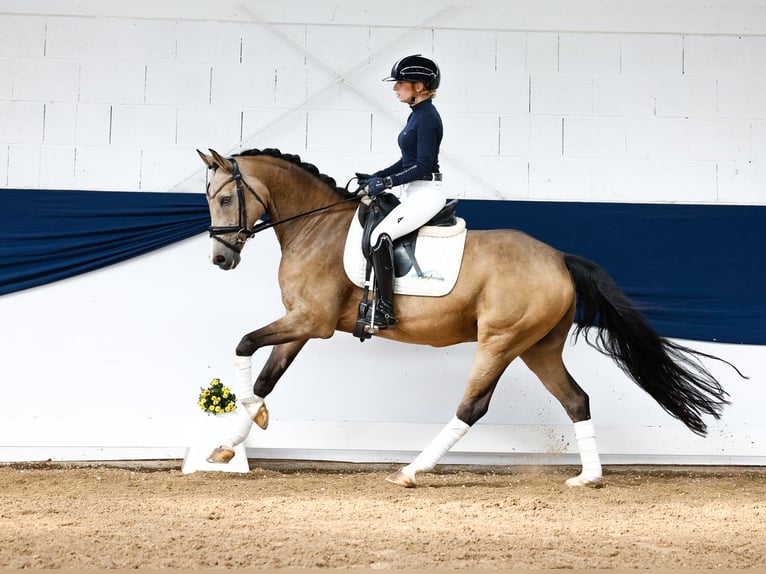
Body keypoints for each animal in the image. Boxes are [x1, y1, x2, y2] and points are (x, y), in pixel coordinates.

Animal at [195, 148, 740, 490]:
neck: (316, 226)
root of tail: (559, 258)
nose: (220, 259)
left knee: (472, 407)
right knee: (576, 399)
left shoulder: (313, 320)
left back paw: (412, 471)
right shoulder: (301, 321)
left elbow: (244, 344)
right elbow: (265, 377)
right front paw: (229, 444)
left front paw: (246, 422)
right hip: (538, 347)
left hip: (499, 341)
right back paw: (588, 477)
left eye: (223, 198)